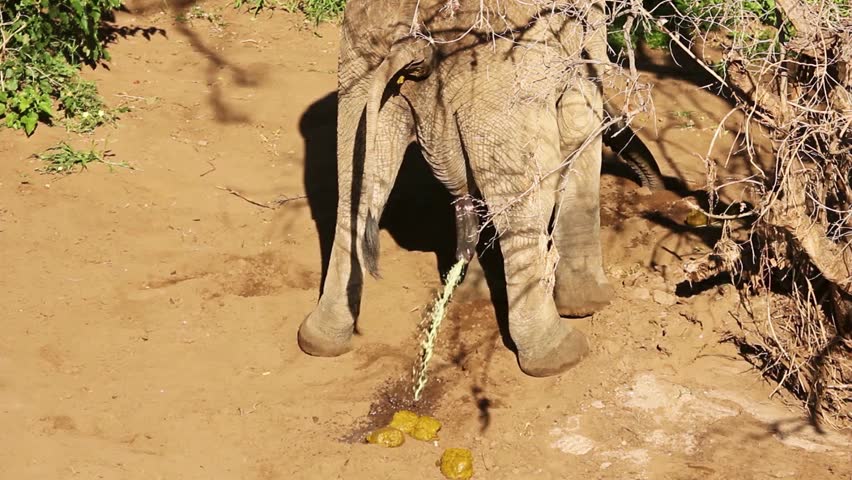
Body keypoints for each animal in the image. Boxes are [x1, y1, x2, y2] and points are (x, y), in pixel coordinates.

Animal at [300, 0, 664, 376]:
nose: (652, 189)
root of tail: (417, 46)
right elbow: (579, 124)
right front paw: (589, 305)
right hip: (499, 84)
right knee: (522, 206)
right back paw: (561, 356)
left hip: (360, 66)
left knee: (354, 188)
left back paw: (320, 341)